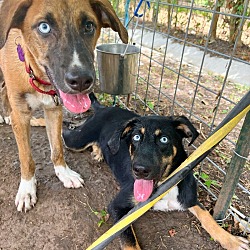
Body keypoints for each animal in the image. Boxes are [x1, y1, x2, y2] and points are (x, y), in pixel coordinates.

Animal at [0, 0, 128, 212]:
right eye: (44, 27)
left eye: (89, 26)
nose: (82, 81)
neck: (39, 78)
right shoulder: (21, 114)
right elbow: (26, 157)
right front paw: (27, 188)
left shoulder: (54, 110)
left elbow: (57, 148)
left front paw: (64, 173)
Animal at [63, 94, 249, 250]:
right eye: (136, 137)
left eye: (164, 139)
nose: (139, 170)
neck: (164, 186)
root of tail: (103, 108)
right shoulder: (118, 208)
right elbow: (129, 241)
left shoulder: (189, 197)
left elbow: (207, 216)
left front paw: (230, 240)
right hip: (77, 140)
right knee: (64, 132)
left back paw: (98, 151)